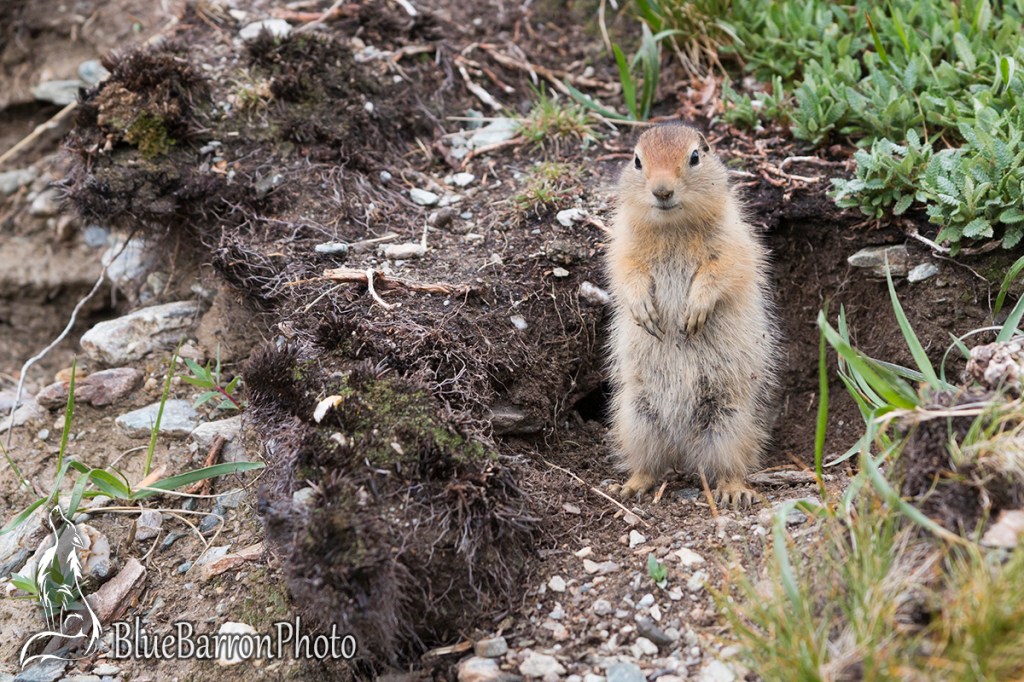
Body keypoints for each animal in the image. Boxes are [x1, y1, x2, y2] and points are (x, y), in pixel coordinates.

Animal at [604, 123, 778, 508]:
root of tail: (682, 450)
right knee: (650, 464)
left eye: (695, 157)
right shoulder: (622, 242)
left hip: (728, 420)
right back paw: (631, 486)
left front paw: (693, 314)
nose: (662, 190)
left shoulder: (733, 241)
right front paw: (644, 312)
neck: (672, 226)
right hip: (636, 416)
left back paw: (734, 491)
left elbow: (723, 271)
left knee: (729, 465)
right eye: (637, 161)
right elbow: (625, 271)